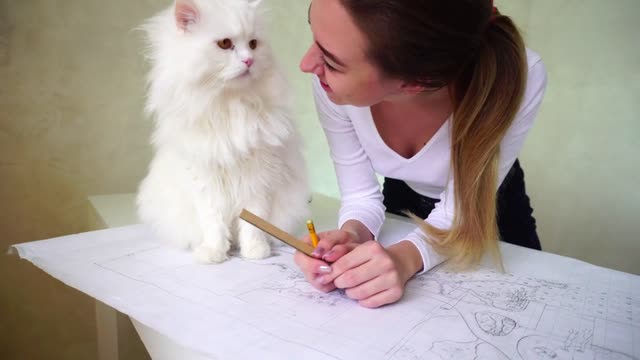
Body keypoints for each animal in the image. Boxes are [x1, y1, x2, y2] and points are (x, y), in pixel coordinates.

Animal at [137, 0, 310, 262]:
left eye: (253, 44)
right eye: (225, 44)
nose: (249, 60)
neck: (231, 106)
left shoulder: (258, 178)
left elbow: (253, 223)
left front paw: (255, 251)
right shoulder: (204, 180)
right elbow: (213, 224)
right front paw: (214, 253)